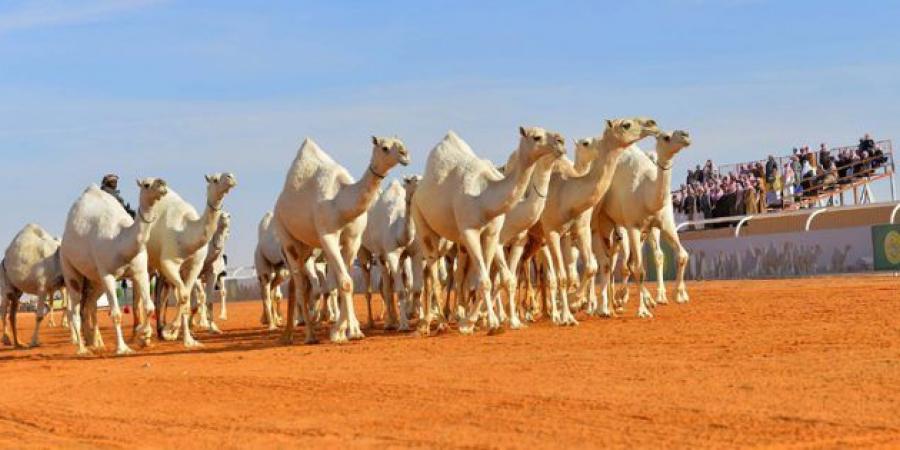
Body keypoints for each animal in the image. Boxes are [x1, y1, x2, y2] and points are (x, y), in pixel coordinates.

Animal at [61, 179, 169, 356]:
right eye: (146, 184)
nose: (162, 184)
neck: (120, 242)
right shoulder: (108, 275)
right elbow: (116, 314)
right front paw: (123, 348)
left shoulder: (141, 271)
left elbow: (149, 307)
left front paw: (144, 337)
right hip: (69, 268)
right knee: (74, 310)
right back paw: (82, 349)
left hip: (95, 280)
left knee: (90, 304)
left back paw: (97, 343)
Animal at [148, 173, 234, 348]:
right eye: (214, 179)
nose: (230, 177)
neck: (186, 234)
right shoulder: (172, 264)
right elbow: (190, 298)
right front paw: (174, 331)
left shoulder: (200, 268)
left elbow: (194, 300)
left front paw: (191, 335)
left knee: (163, 295)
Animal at [272, 135, 410, 342]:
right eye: (385, 147)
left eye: (401, 142)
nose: (405, 154)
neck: (341, 203)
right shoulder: (327, 236)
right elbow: (344, 282)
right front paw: (344, 331)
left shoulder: (353, 240)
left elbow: (347, 282)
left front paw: (346, 330)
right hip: (286, 236)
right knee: (299, 284)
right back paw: (309, 335)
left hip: (307, 247)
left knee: (296, 285)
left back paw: (288, 335)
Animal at [414, 126, 568, 334]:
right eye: (537, 137)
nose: (561, 141)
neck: (485, 199)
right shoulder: (475, 233)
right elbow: (491, 279)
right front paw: (492, 321)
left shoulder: (496, 235)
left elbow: (497, 279)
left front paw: (484, 321)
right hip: (421, 220)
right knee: (434, 274)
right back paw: (437, 323)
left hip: (458, 242)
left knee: (456, 276)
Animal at [596, 130, 692, 318]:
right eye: (666, 137)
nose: (686, 135)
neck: (646, 194)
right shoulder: (632, 226)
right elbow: (638, 268)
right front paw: (641, 310)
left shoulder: (665, 225)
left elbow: (682, 255)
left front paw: (678, 295)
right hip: (604, 223)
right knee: (606, 262)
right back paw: (604, 307)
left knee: (614, 261)